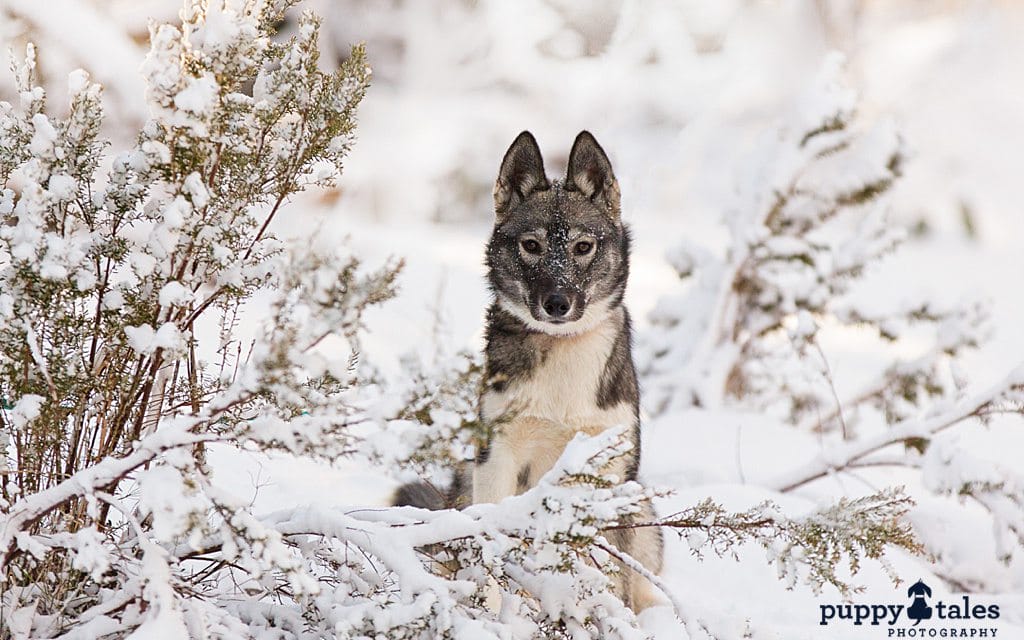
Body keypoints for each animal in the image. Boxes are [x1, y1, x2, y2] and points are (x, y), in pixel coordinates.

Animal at [391, 128, 663, 610]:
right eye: (531, 245)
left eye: (583, 246)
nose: (556, 303)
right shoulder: (497, 457)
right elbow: (488, 547)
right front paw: (488, 613)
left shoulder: (607, 472)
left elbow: (610, 574)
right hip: (467, 477)